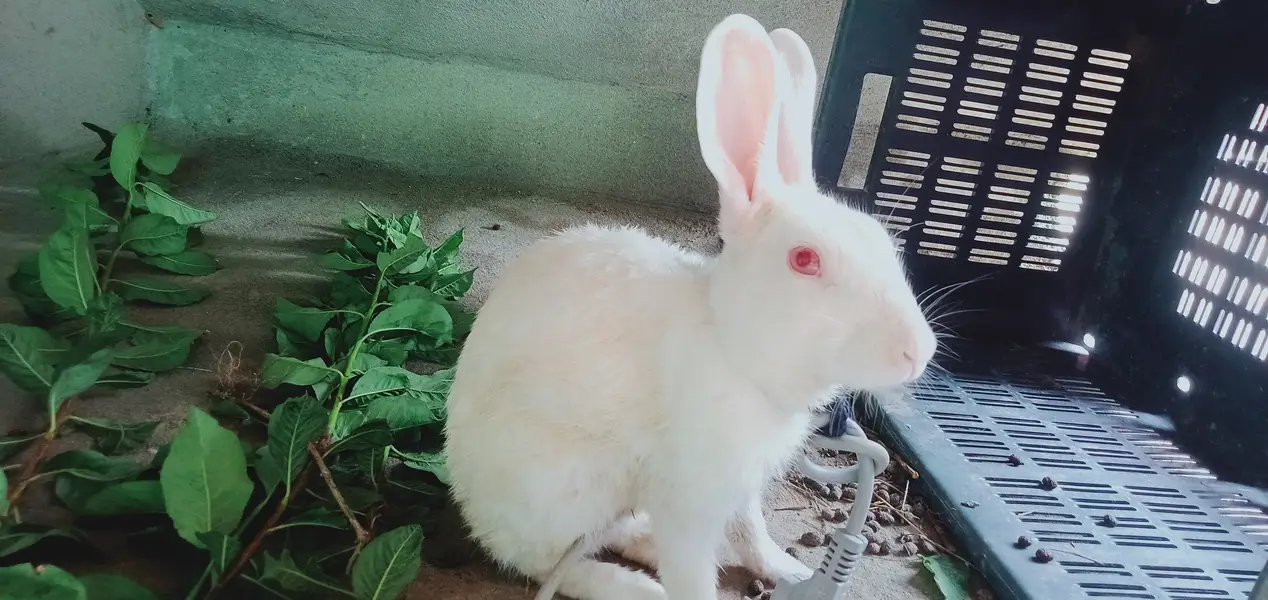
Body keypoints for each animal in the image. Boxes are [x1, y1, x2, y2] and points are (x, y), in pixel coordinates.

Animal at [442, 13, 937, 600]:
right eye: (804, 259)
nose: (919, 352)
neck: (733, 349)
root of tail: (468, 502)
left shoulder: (740, 489)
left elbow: (752, 532)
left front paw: (788, 571)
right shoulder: (689, 502)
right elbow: (692, 572)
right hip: (559, 489)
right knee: (544, 561)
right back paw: (636, 587)